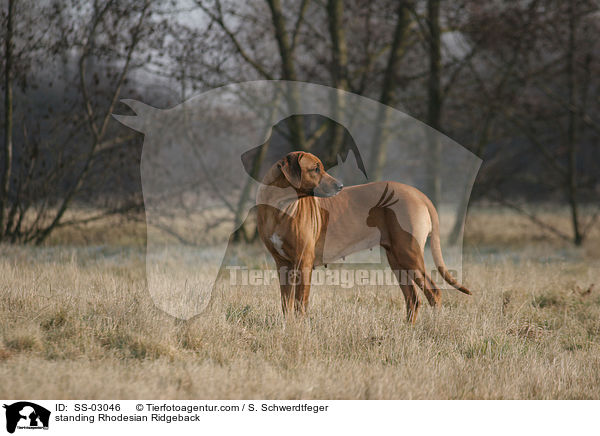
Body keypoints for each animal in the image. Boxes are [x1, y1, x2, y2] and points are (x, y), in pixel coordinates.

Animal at [255, 152, 472, 322]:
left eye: (321, 167)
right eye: (315, 169)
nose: (340, 185)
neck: (281, 206)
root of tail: (419, 194)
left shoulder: (303, 262)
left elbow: (300, 304)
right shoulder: (283, 264)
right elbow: (286, 303)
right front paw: (288, 327)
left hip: (409, 254)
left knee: (433, 292)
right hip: (397, 259)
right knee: (413, 298)